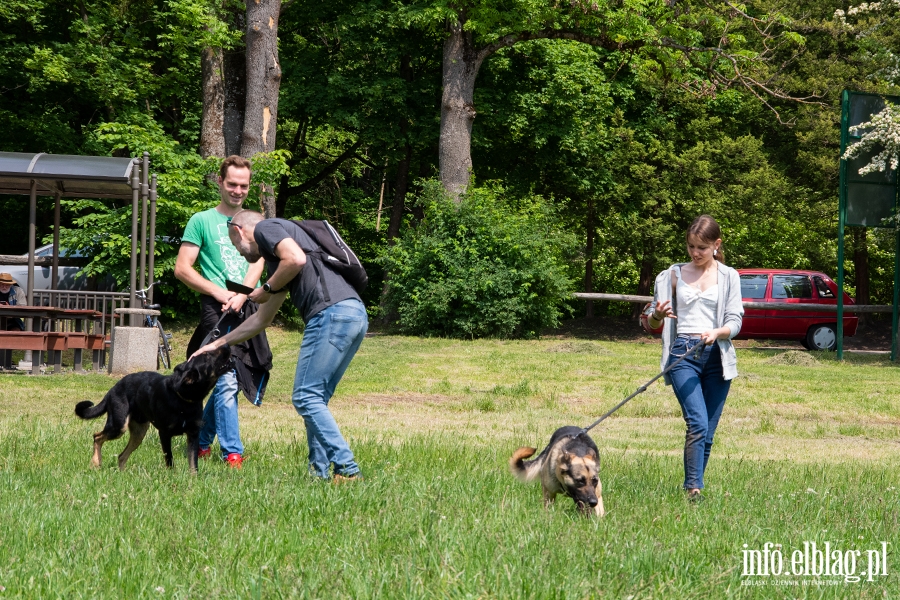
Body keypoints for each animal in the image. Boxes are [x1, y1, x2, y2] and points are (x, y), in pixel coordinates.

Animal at [74, 346, 232, 474]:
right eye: (207, 355)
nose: (227, 345)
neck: (183, 400)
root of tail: (112, 390)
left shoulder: (193, 434)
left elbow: (193, 464)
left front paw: (193, 481)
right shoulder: (164, 433)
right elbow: (169, 459)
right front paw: (172, 476)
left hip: (139, 432)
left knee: (121, 455)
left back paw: (121, 474)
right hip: (118, 426)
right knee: (97, 437)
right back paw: (96, 463)